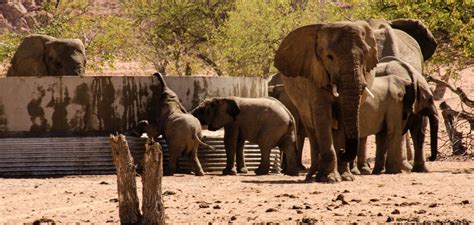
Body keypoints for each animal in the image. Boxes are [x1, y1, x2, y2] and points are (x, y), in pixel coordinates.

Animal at [274, 21, 378, 182]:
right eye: (330, 57)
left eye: (365, 55)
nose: (342, 151)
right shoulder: (315, 73)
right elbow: (322, 116)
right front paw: (329, 179)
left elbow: (342, 116)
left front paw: (346, 177)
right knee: (311, 128)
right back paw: (312, 176)